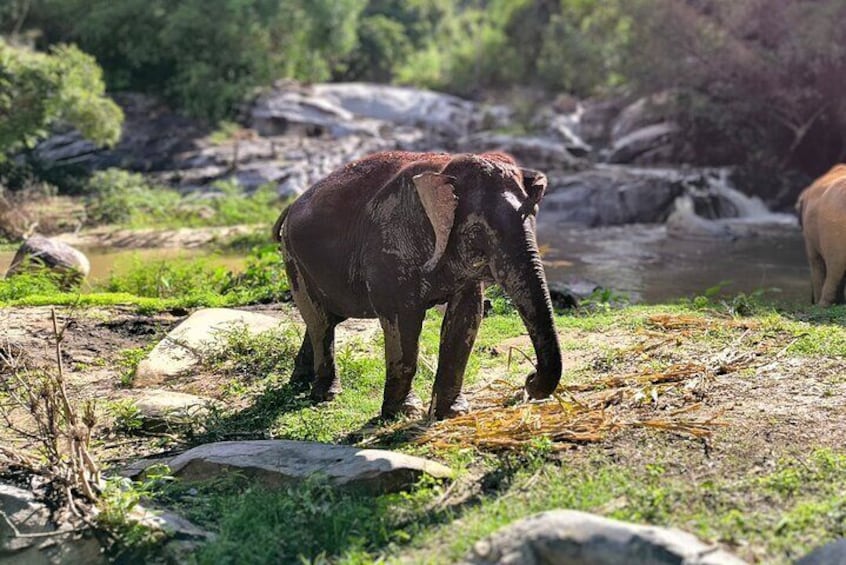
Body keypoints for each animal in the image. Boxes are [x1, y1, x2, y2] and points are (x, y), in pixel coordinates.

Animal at [274, 150, 564, 418]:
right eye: (478, 231)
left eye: (533, 218)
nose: (528, 381)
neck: (446, 171)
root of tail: (291, 206)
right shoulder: (389, 247)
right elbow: (403, 320)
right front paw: (404, 412)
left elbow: (466, 318)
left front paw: (452, 413)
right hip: (294, 258)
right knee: (321, 321)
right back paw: (326, 394)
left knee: (325, 320)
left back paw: (299, 382)